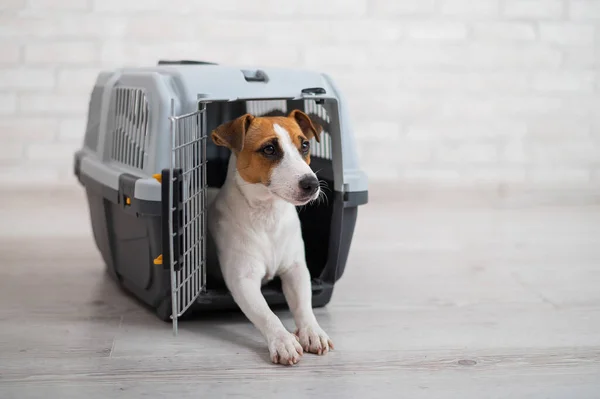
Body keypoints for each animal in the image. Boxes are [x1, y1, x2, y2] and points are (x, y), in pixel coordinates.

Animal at [209, 108, 332, 366]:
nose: (312, 184)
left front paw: (312, 331)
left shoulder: (296, 270)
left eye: (304, 145)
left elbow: (304, 305)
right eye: (269, 149)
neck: (268, 215)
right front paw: (283, 340)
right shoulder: (243, 280)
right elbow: (267, 314)